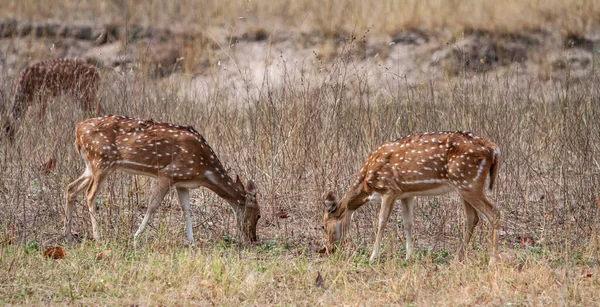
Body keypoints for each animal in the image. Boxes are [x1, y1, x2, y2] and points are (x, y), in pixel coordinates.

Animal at [64, 115, 262, 248]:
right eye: (259, 215)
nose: (253, 238)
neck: (204, 170)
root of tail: (77, 130)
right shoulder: (167, 174)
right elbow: (152, 206)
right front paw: (136, 237)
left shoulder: (182, 182)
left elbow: (186, 209)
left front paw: (192, 241)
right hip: (101, 161)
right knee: (89, 194)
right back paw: (98, 237)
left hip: (90, 166)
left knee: (70, 188)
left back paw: (67, 236)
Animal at [324, 132, 502, 264]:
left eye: (323, 226)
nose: (329, 250)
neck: (367, 184)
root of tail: (494, 149)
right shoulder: (406, 194)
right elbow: (408, 223)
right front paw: (409, 257)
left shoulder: (389, 189)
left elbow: (381, 221)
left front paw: (372, 257)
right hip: (463, 185)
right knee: (473, 217)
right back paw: (457, 258)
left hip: (469, 183)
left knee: (494, 213)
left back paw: (492, 261)